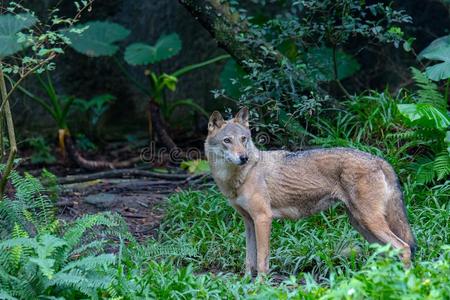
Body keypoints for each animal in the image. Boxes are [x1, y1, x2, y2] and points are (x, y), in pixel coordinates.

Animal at [204, 106, 414, 276]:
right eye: (227, 140)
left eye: (243, 139)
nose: (244, 157)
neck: (239, 178)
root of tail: (379, 159)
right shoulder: (249, 222)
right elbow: (249, 260)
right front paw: (247, 283)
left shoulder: (263, 219)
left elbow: (262, 260)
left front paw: (259, 287)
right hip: (361, 224)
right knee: (389, 253)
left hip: (369, 222)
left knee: (404, 248)